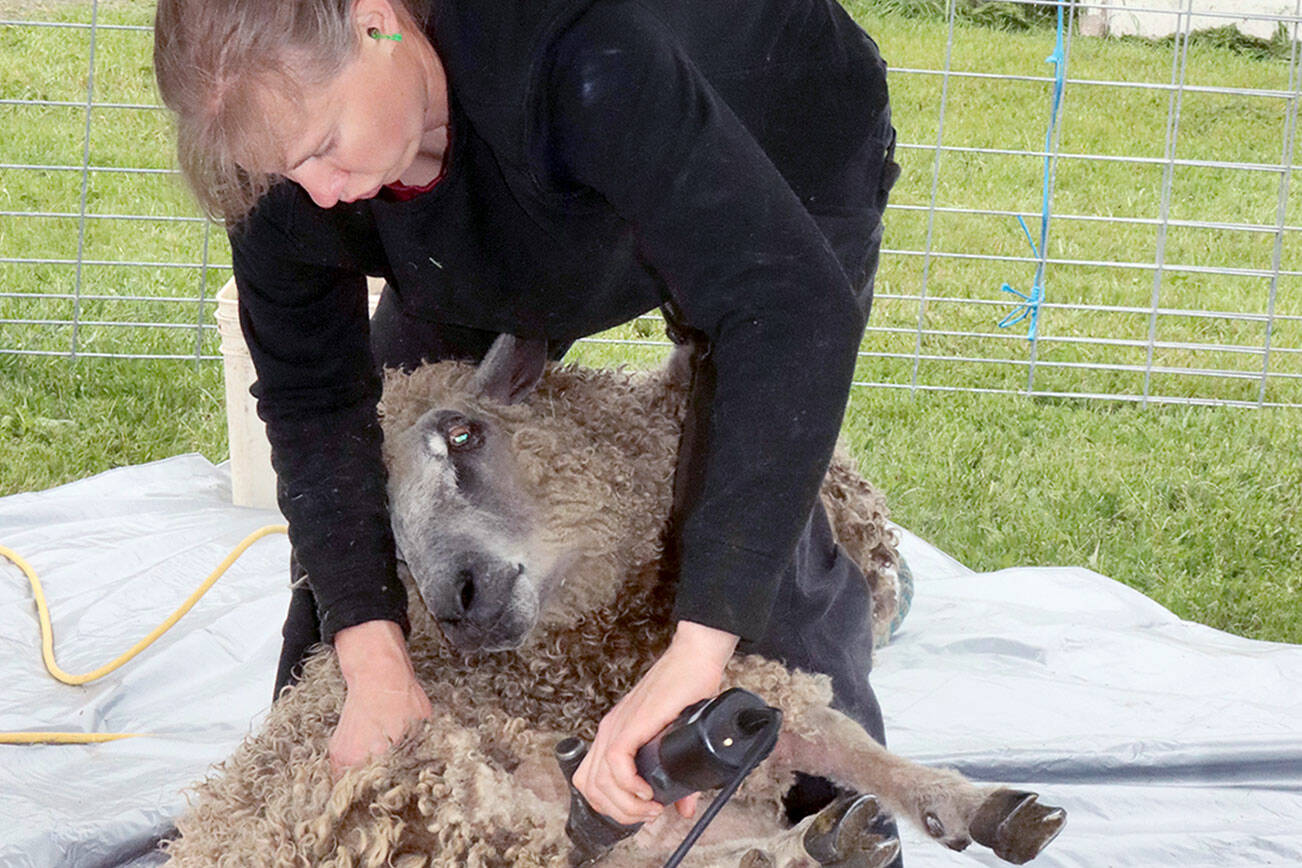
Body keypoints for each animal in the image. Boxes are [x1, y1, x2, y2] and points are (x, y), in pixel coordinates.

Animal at [162, 338, 1062, 868]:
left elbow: (842, 740)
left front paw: (978, 807)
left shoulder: (700, 697)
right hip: (435, 792)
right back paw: (806, 849)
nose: (456, 601)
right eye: (376, 517)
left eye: (463, 432)